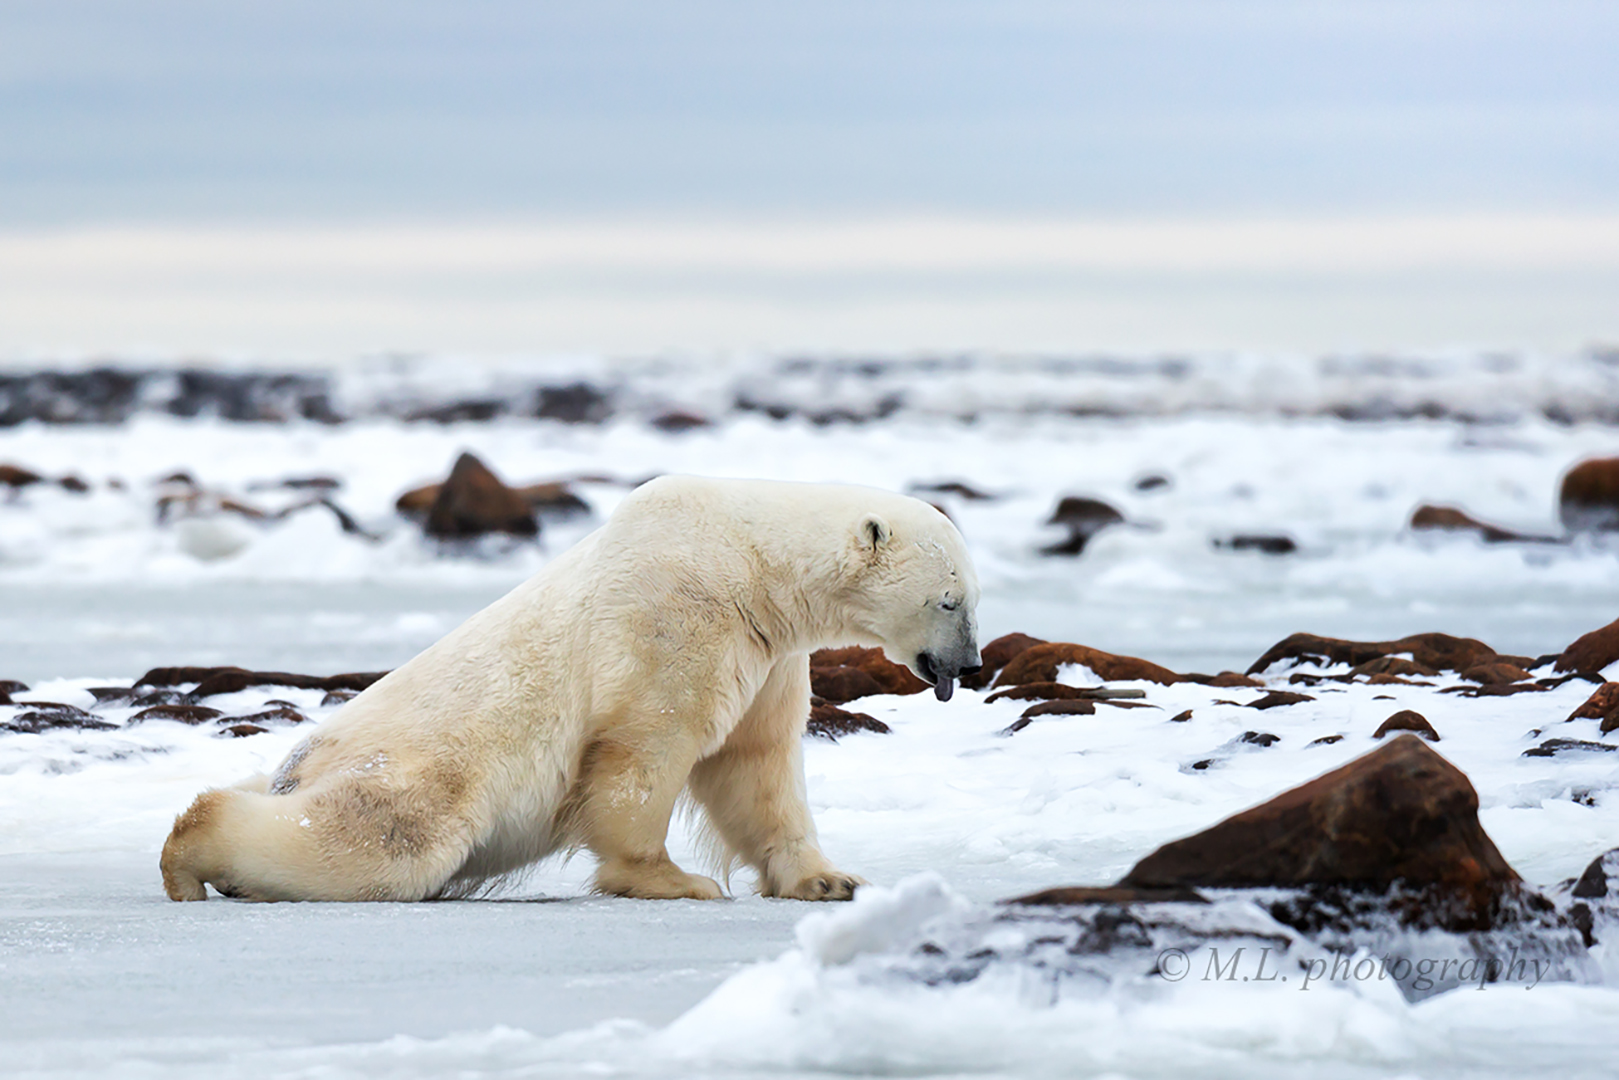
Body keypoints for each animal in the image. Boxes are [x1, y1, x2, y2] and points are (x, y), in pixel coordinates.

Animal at [157, 479, 977, 906]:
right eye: (949, 600)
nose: (967, 666)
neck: (752, 560)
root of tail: (298, 766)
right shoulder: (675, 611)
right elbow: (647, 750)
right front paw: (674, 881)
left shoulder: (767, 653)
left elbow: (756, 765)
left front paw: (829, 879)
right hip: (425, 767)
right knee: (386, 843)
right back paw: (188, 857)